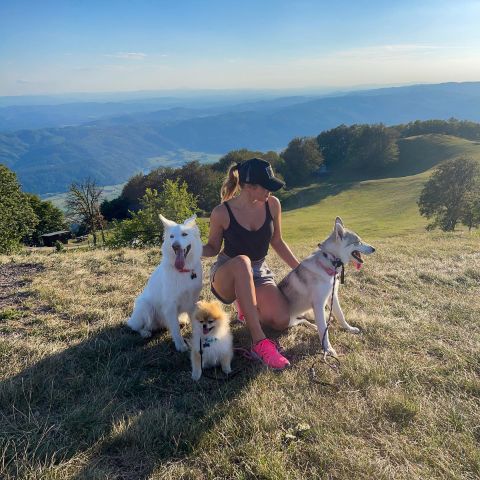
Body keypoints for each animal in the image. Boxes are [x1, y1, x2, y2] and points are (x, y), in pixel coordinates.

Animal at [125, 214, 202, 352]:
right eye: (171, 237)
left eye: (184, 234)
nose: (175, 246)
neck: (183, 271)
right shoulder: (170, 306)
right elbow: (176, 330)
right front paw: (181, 346)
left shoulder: (192, 302)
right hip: (145, 306)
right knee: (137, 327)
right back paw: (145, 332)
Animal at [280, 218, 376, 356]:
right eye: (358, 242)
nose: (374, 249)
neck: (332, 261)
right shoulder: (319, 304)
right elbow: (324, 331)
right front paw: (328, 349)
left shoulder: (332, 297)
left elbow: (340, 315)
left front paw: (349, 329)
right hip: (289, 322)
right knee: (301, 321)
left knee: (303, 320)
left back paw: (313, 326)